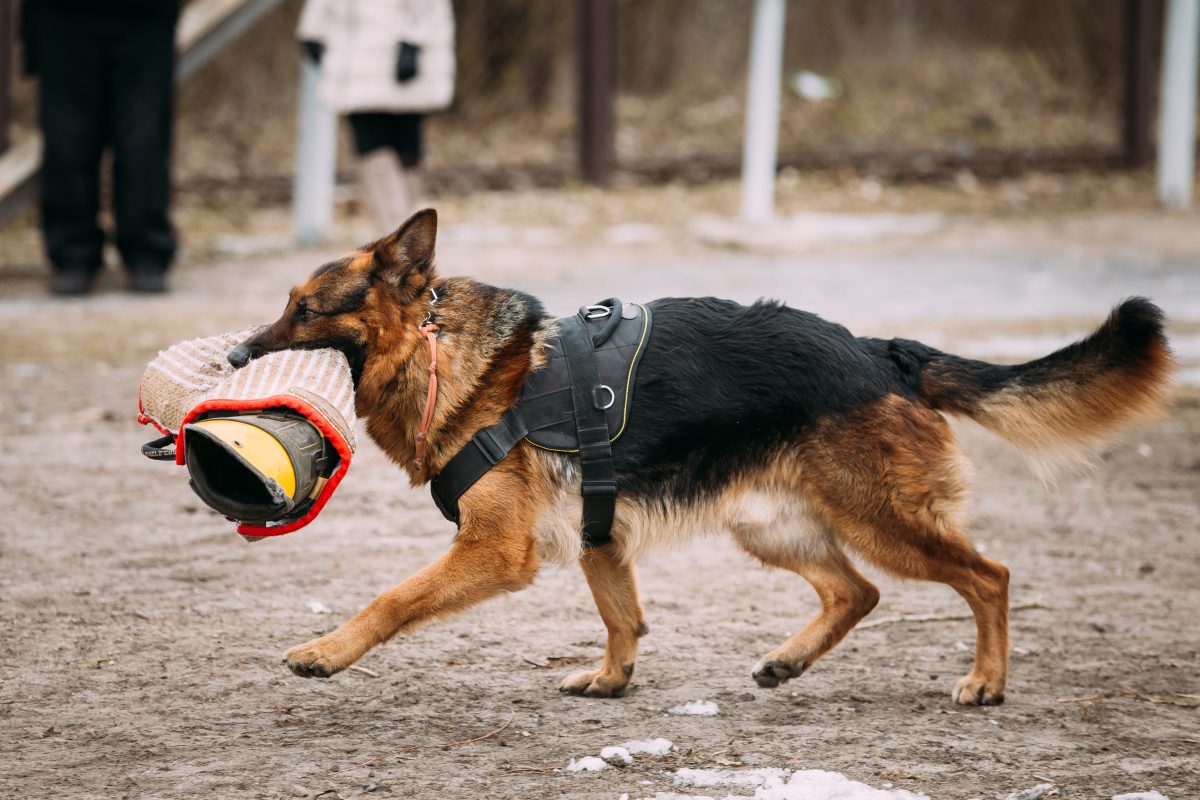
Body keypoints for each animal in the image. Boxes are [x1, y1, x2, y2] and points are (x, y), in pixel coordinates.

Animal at [231, 209, 1171, 705]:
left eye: (307, 310)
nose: (238, 354)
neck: (443, 352)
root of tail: (879, 351)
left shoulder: (494, 550)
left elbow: (392, 598)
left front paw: (327, 651)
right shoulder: (600, 537)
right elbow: (623, 617)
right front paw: (612, 680)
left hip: (882, 522)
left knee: (989, 576)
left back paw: (985, 680)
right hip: (772, 527)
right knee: (857, 591)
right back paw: (790, 659)